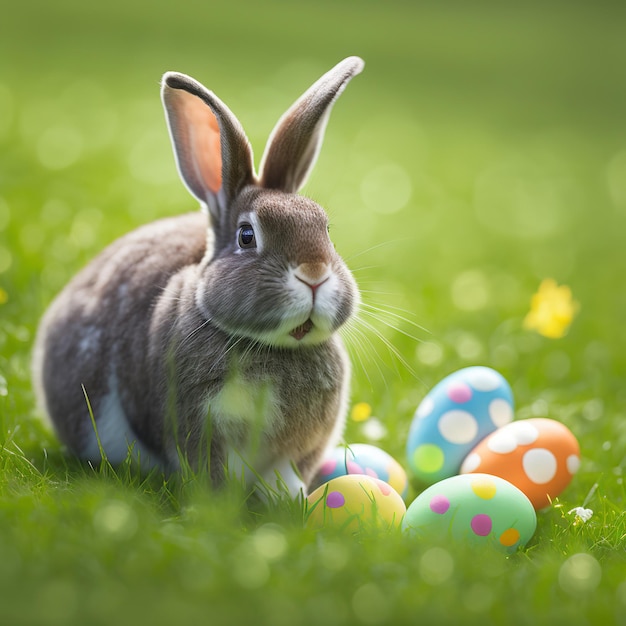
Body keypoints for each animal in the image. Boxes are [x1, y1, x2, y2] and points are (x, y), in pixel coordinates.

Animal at [33, 58, 366, 498]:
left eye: (326, 231)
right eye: (246, 236)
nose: (314, 275)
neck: (270, 347)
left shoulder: (297, 446)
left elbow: (284, 472)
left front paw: (294, 499)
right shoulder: (196, 426)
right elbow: (208, 470)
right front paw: (217, 502)